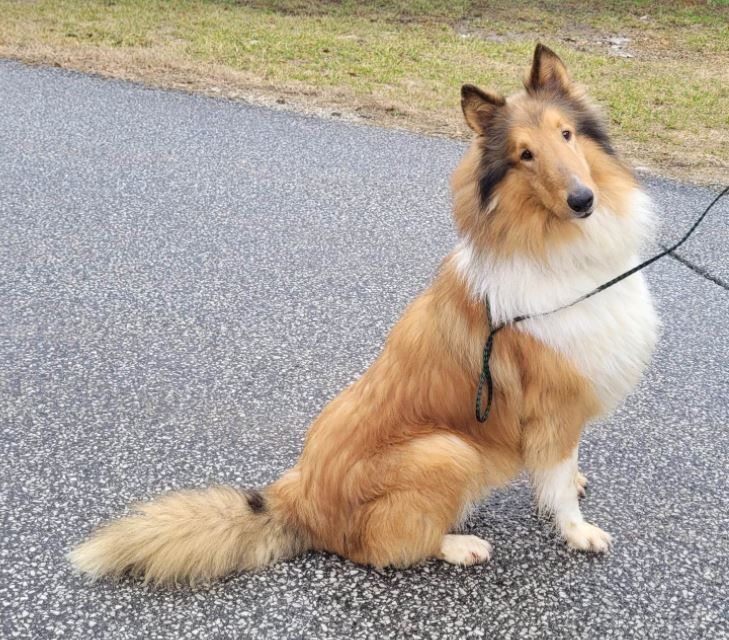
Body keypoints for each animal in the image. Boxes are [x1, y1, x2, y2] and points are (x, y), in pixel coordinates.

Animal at [71, 46, 656, 584]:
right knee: (381, 546)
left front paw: (572, 486)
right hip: (448, 451)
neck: (555, 244)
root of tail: (299, 500)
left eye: (566, 135)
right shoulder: (554, 404)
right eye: (525, 155)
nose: (583, 200)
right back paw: (460, 545)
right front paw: (578, 531)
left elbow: (562, 470)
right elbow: (557, 482)